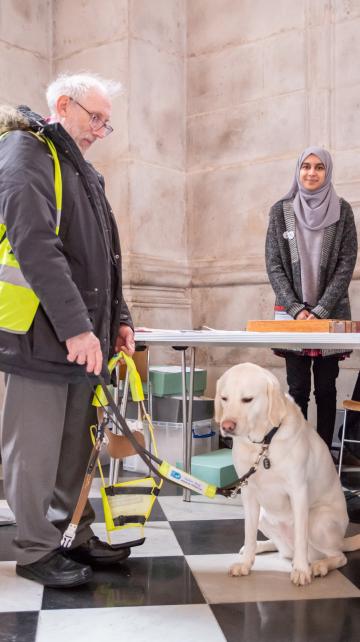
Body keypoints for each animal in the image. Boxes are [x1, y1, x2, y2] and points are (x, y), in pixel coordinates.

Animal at [215, 360, 358, 584]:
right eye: (224, 398)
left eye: (247, 399)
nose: (226, 426)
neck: (263, 444)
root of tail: (343, 540)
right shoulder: (248, 493)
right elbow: (249, 533)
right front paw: (246, 564)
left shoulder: (298, 491)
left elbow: (300, 537)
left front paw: (301, 570)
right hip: (264, 516)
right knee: (282, 548)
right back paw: (259, 547)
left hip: (317, 520)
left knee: (338, 556)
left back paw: (319, 566)